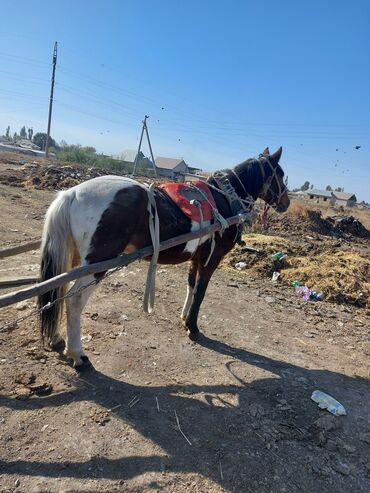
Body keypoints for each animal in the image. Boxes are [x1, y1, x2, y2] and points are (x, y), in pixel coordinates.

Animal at [39, 146, 290, 366]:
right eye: (280, 175)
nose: (286, 203)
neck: (225, 201)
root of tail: (72, 192)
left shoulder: (197, 257)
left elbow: (191, 286)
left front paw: (184, 318)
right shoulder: (212, 258)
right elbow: (201, 292)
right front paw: (193, 328)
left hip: (75, 259)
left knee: (57, 290)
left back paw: (57, 338)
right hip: (96, 264)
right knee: (74, 301)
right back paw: (77, 354)